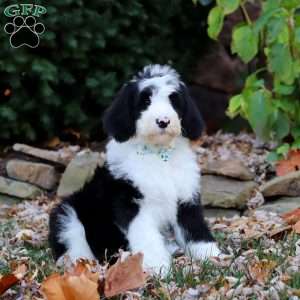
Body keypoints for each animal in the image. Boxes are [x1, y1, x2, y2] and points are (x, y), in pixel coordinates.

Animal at [49, 64, 220, 274]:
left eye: (173, 101)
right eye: (146, 101)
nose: (163, 121)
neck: (158, 154)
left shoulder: (186, 198)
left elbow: (194, 228)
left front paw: (211, 256)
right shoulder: (131, 203)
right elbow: (146, 235)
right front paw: (156, 266)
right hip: (68, 212)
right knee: (73, 239)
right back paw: (81, 264)